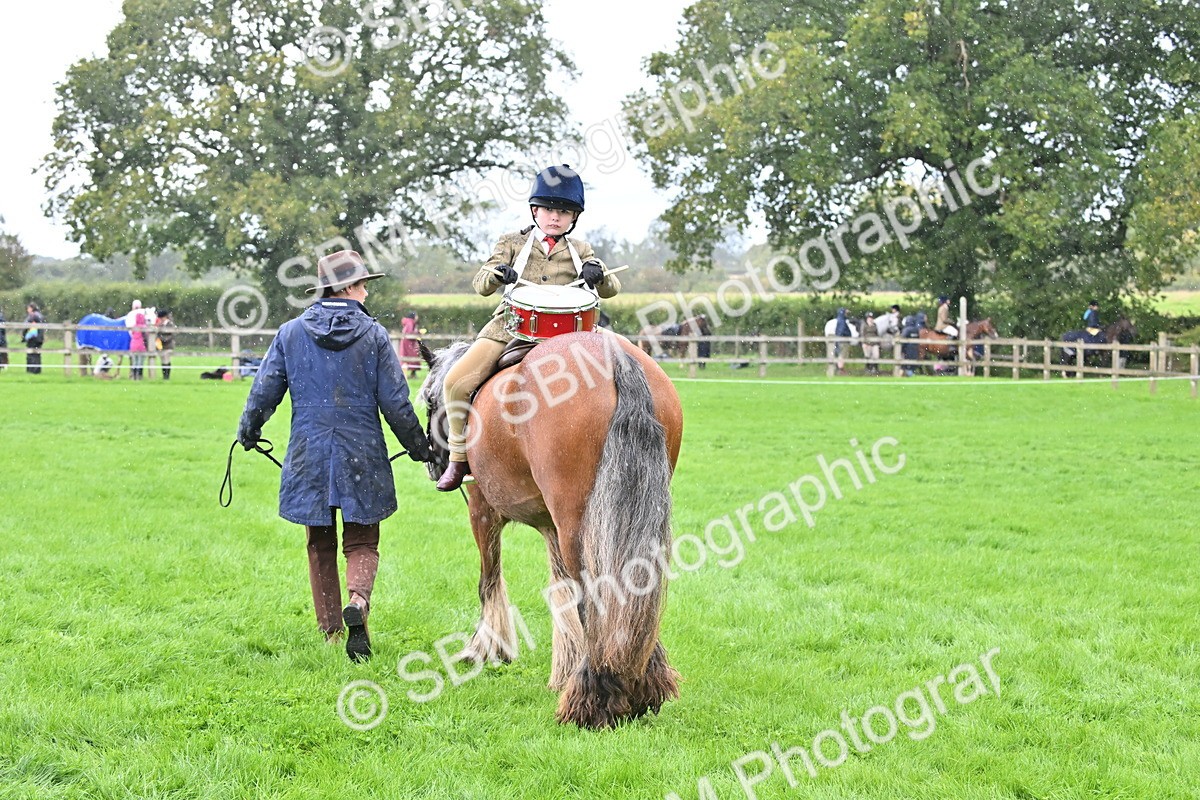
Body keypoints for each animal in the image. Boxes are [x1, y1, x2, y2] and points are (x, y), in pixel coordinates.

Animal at [418, 331, 684, 729]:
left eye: (430, 400)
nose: (433, 464)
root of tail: (616, 357)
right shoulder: (550, 526)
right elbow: (561, 592)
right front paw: (565, 668)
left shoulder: (482, 509)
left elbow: (489, 580)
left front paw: (487, 648)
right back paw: (638, 683)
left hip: (577, 527)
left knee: (596, 596)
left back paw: (595, 697)